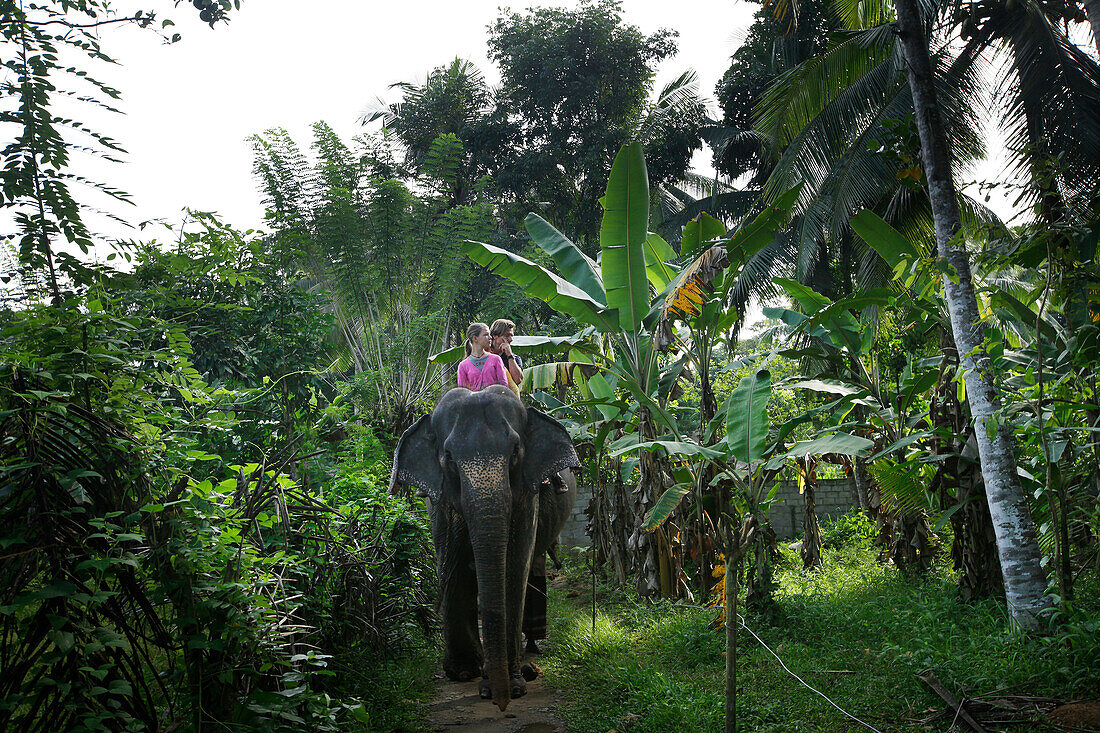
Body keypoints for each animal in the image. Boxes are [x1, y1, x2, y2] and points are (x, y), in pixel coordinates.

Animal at [389, 383, 580, 708]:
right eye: (449, 457)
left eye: (515, 451)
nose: (501, 703)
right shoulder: (439, 501)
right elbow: (455, 565)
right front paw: (463, 672)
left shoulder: (527, 494)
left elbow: (513, 567)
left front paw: (512, 685)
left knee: (533, 567)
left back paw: (531, 649)